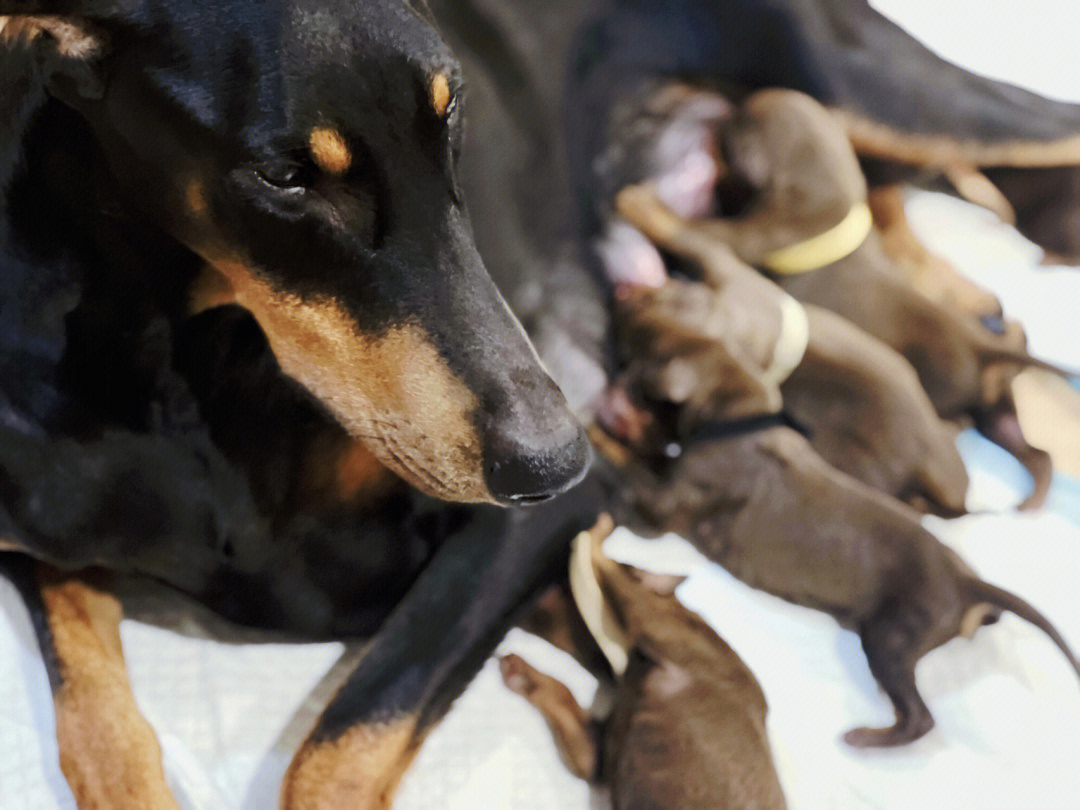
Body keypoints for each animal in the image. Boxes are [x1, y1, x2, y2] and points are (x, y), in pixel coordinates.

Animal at [0, 3, 596, 807]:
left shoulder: (522, 526)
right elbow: (99, 725)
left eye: (453, 113)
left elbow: (345, 742)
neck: (182, 356)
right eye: (284, 178)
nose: (553, 461)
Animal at [501, 520, 790, 810]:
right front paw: (521, 675)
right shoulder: (596, 752)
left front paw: (601, 528)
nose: (525, 606)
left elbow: (601, 558)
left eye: (563, 587)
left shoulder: (649, 619)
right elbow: (561, 695)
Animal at [635, 88, 1058, 507]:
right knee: (1029, 448)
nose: (728, 109)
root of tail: (978, 346)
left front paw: (641, 204)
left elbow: (701, 231)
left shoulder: (762, 229)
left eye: (741, 124)